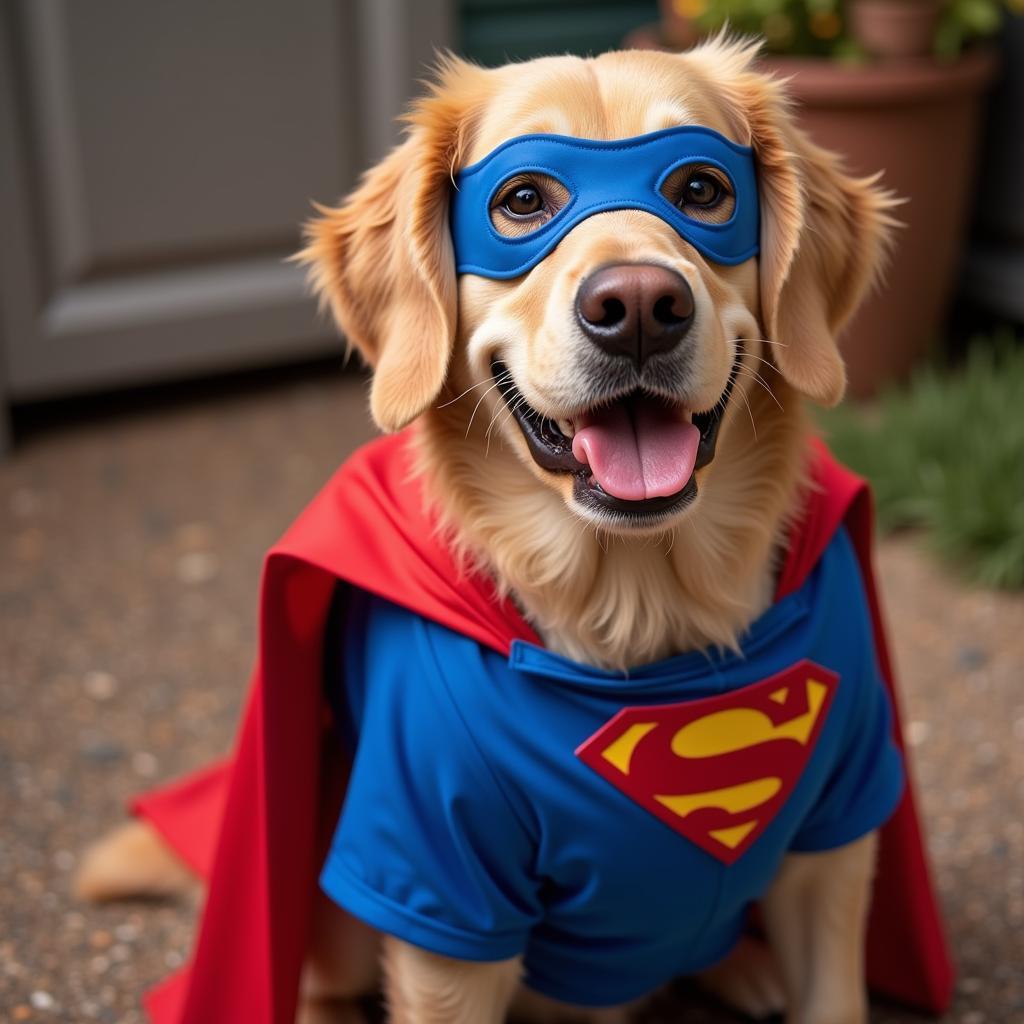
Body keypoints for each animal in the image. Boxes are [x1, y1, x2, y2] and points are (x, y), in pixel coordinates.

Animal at [75, 37, 905, 1024]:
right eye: (522, 201)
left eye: (703, 189)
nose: (637, 305)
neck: (643, 614)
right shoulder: (438, 901)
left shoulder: (836, 837)